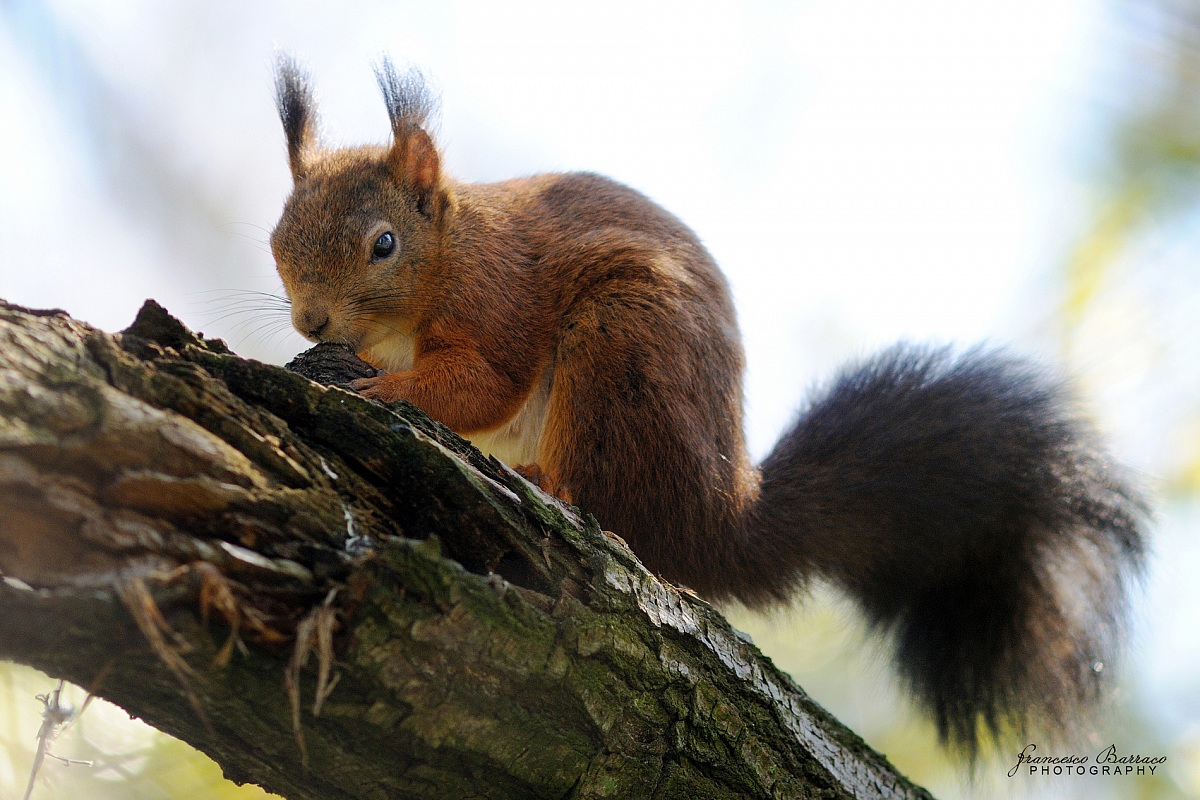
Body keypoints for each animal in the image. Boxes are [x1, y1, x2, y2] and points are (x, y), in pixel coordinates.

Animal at [269, 57, 1147, 755]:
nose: (312, 320)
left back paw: (555, 486)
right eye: (278, 241)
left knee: (612, 502)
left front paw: (379, 388)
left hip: (621, 346)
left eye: (383, 244)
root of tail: (712, 516)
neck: (447, 254)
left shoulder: (499, 299)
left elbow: (483, 383)